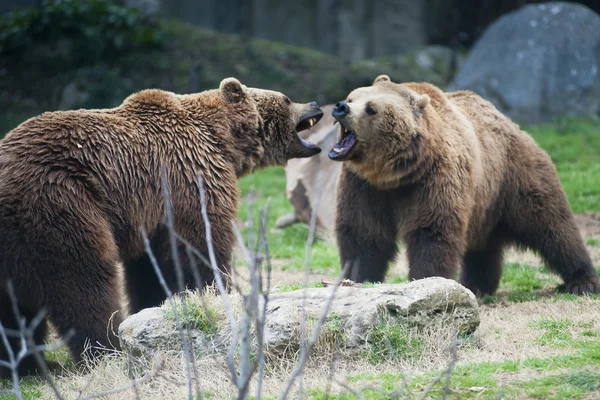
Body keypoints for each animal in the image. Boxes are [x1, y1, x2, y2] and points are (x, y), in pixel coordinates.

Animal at [0, 76, 324, 376]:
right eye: (286, 99)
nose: (316, 104)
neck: (223, 141)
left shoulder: (149, 212)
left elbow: (149, 268)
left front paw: (154, 307)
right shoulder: (189, 179)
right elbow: (199, 247)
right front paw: (216, 294)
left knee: (14, 312)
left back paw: (27, 364)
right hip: (60, 206)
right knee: (84, 282)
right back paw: (105, 350)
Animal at [328, 73, 600, 296]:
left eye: (371, 108)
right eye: (352, 96)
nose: (341, 107)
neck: (395, 174)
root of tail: (508, 121)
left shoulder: (433, 180)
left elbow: (432, 231)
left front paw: (426, 282)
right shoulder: (363, 186)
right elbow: (363, 234)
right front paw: (356, 279)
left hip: (516, 176)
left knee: (552, 224)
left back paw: (582, 281)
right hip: (484, 204)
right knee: (484, 246)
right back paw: (478, 285)